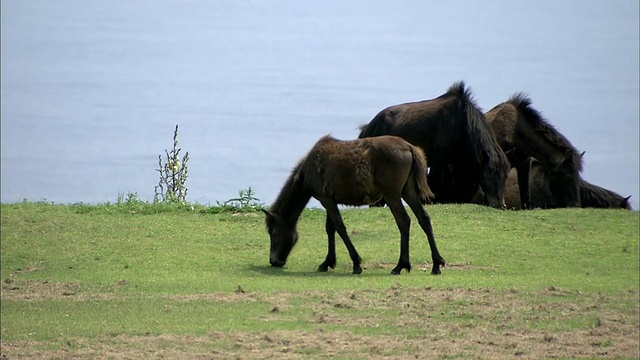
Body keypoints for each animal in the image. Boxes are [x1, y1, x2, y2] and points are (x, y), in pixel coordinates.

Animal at [264, 135, 444, 276]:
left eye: (272, 231)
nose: (274, 260)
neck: (307, 171)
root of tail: (410, 148)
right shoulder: (330, 199)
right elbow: (330, 228)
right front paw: (327, 262)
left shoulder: (325, 199)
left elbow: (340, 228)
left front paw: (356, 263)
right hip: (408, 191)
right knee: (424, 218)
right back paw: (436, 264)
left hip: (392, 193)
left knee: (404, 221)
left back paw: (400, 265)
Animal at [358, 80, 508, 207]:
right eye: (488, 174)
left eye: (505, 176)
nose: (500, 204)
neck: (461, 123)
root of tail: (368, 127)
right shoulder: (438, 161)